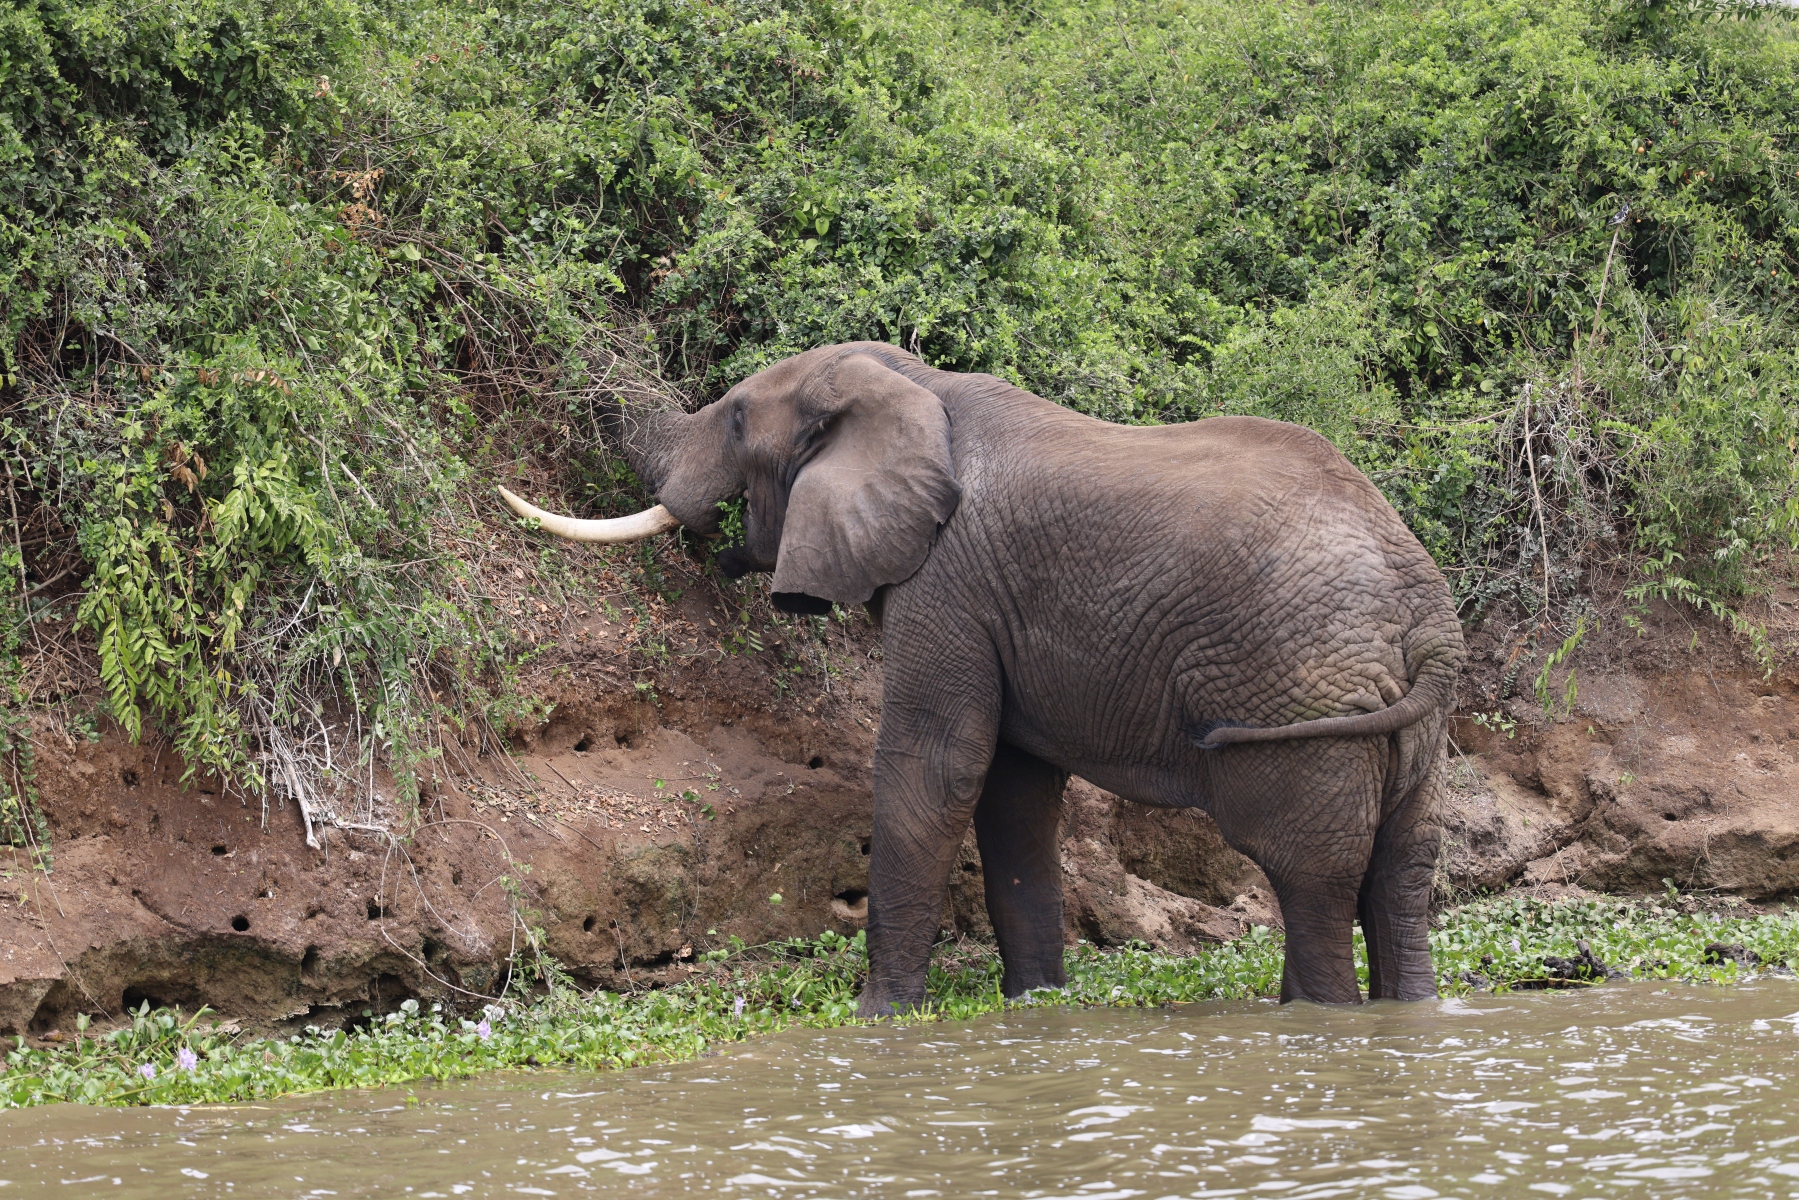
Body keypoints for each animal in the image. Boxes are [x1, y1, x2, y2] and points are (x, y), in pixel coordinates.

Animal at [500, 341, 1465, 1015]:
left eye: (737, 419)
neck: (907, 382)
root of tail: (1426, 617)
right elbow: (1011, 791)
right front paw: (1033, 1007)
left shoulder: (949, 581)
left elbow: (937, 765)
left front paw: (879, 1015)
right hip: (1408, 728)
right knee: (1400, 869)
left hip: (1299, 695)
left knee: (1311, 876)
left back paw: (1316, 1016)